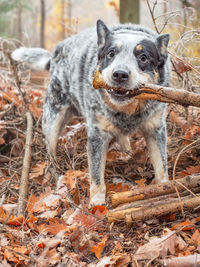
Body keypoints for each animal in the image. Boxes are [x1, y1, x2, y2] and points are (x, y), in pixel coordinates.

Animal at [11, 19, 170, 208]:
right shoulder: (97, 135)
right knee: (50, 148)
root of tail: (56, 51)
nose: (119, 74)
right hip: (53, 118)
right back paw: (55, 171)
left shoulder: (156, 129)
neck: (127, 111)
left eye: (143, 57)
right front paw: (97, 204)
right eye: (111, 54)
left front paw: (167, 189)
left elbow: (162, 166)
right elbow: (96, 176)